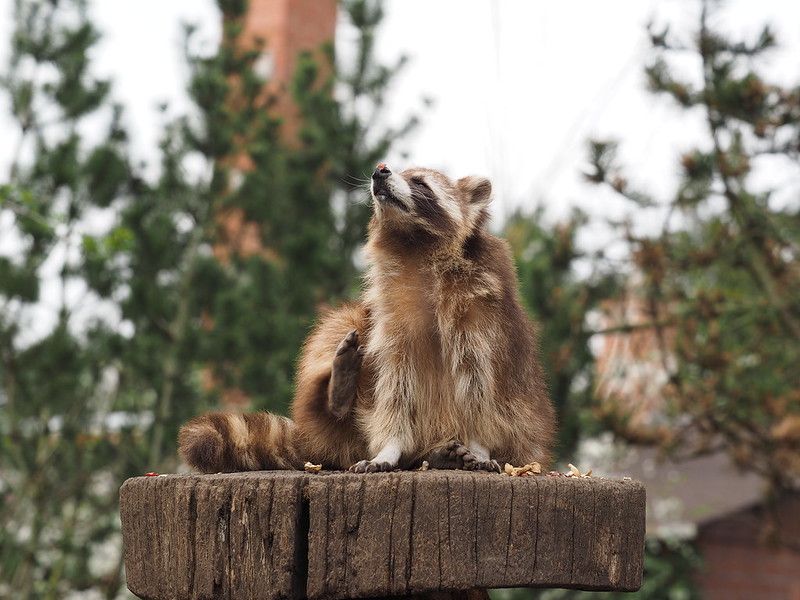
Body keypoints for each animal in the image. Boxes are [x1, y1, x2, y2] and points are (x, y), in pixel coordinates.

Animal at [179, 164, 555, 474]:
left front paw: (479, 445)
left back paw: (441, 454)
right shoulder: (389, 323)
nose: (380, 170)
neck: (416, 245)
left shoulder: (483, 318)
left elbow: (481, 390)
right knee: (338, 329)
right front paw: (389, 448)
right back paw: (340, 397)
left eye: (420, 182)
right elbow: (393, 391)